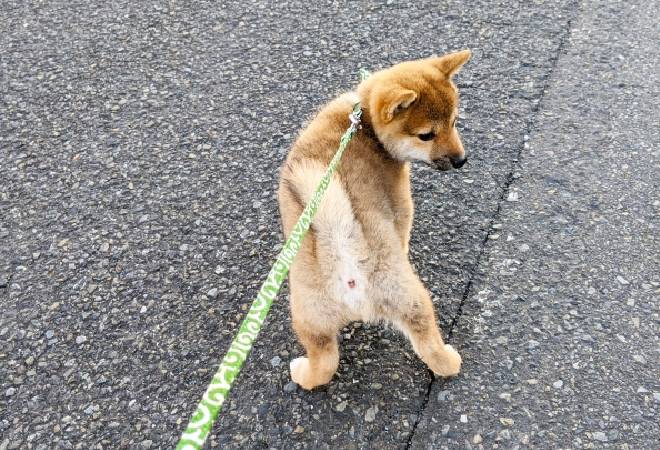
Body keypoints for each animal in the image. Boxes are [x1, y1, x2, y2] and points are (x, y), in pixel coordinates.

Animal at [278, 51, 470, 390]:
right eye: (426, 135)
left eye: (454, 122)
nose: (461, 160)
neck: (363, 120)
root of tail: (345, 256)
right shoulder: (401, 200)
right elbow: (403, 228)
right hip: (405, 296)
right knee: (431, 350)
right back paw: (450, 359)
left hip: (313, 318)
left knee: (325, 362)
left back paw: (303, 374)